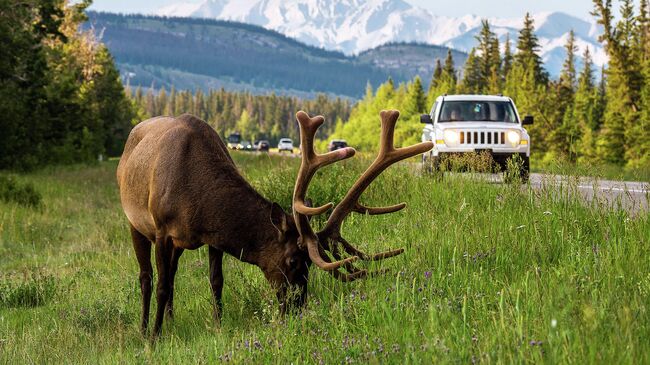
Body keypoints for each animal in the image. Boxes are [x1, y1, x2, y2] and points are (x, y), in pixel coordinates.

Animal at [116, 110, 430, 336]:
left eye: (309, 264)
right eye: (293, 261)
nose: (297, 307)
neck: (198, 199)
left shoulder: (210, 237)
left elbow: (215, 281)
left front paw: (217, 325)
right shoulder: (162, 231)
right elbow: (161, 285)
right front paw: (154, 337)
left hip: (176, 244)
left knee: (172, 273)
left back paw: (170, 320)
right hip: (136, 224)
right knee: (147, 277)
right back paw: (145, 328)